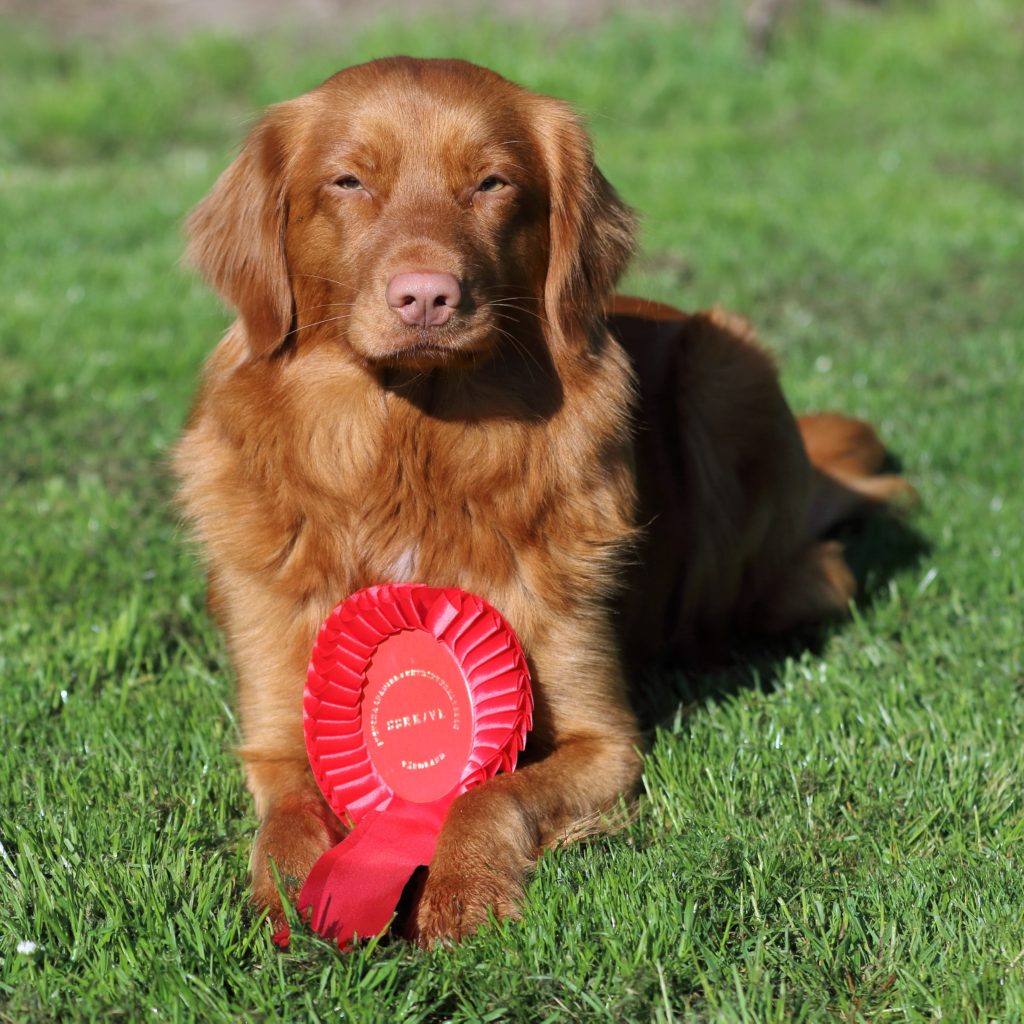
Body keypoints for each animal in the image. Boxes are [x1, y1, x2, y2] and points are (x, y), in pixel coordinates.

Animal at [174, 56, 913, 946]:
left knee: (815, 574)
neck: (412, 455)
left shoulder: (606, 740)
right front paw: (287, 902)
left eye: (492, 183)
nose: (426, 297)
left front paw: (460, 890)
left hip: (723, 362)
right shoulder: (280, 734)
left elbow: (491, 793)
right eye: (349, 181)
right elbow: (286, 820)